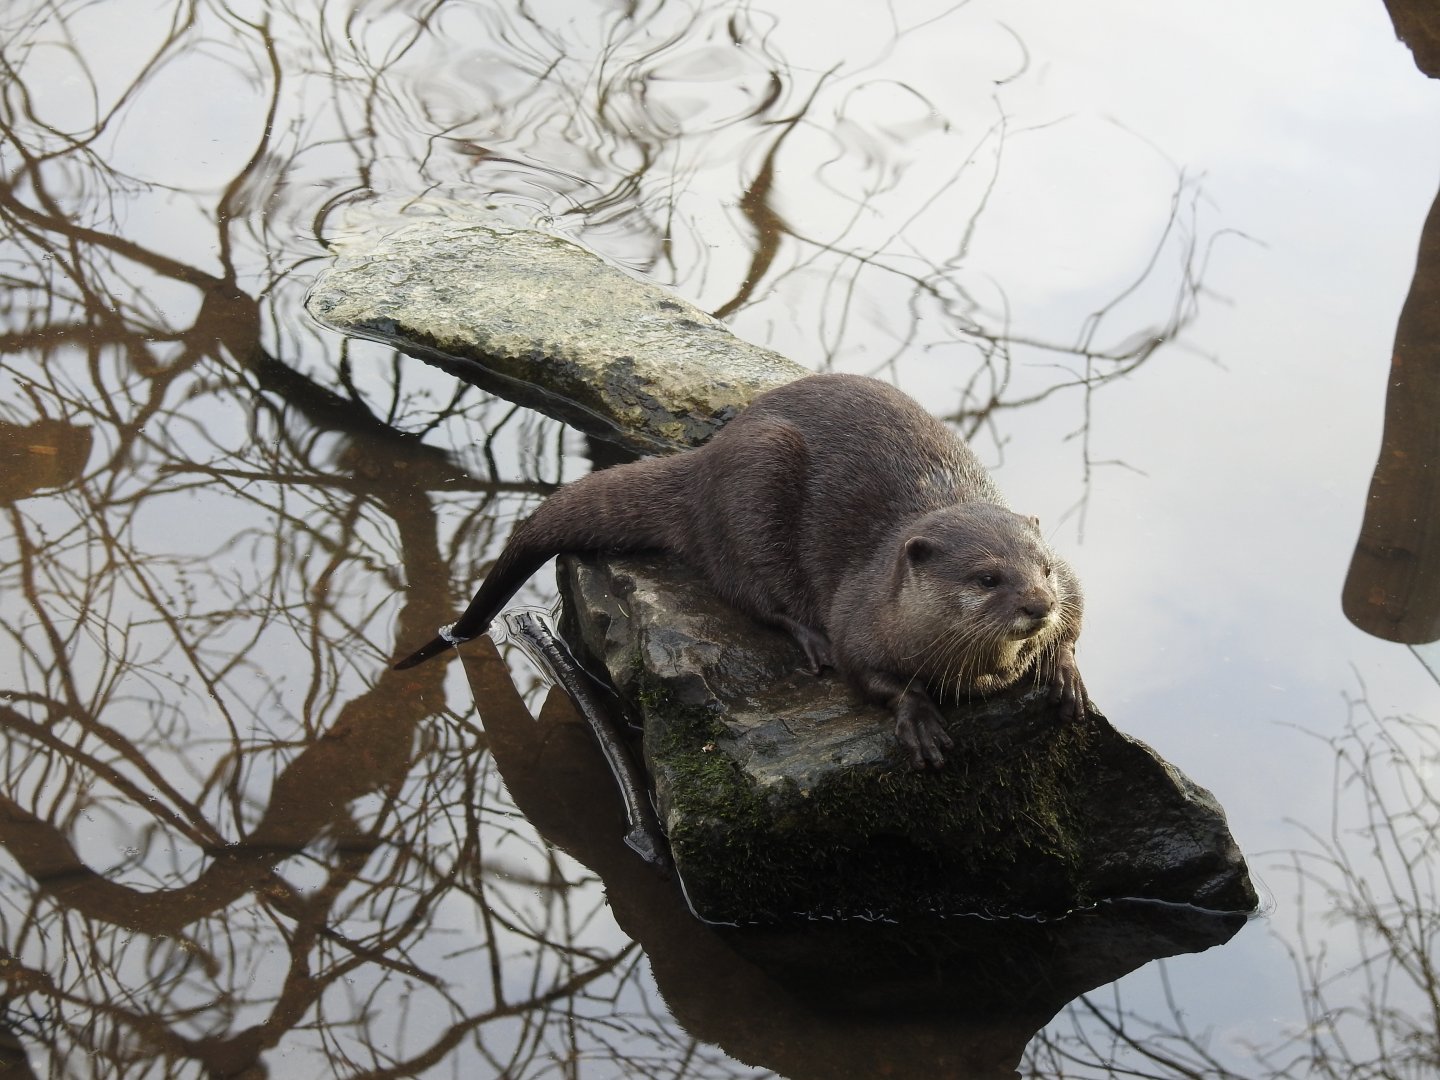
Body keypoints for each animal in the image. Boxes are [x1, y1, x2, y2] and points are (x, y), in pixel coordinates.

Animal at [395, 373, 1085, 769]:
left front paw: (1065, 673)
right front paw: (917, 718)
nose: (1038, 605)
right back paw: (806, 637)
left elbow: (1077, 624)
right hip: (756, 480)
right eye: (987, 578)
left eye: (1045, 569)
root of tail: (702, 461)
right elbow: (867, 675)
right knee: (749, 588)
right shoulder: (859, 615)